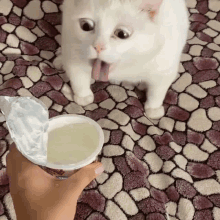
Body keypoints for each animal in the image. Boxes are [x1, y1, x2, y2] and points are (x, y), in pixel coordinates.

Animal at [53, 0, 189, 119]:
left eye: (122, 34)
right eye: (86, 26)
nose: (98, 46)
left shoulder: (165, 68)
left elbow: (157, 91)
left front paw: (153, 109)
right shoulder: (72, 53)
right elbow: (79, 80)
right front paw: (84, 96)